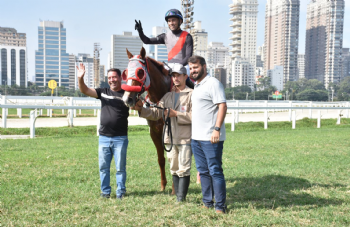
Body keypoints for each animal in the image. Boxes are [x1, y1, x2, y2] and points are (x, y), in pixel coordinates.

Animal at [121, 47, 173, 192]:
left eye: (140, 72)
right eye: (126, 72)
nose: (127, 99)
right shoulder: (154, 132)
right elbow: (161, 159)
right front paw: (163, 185)